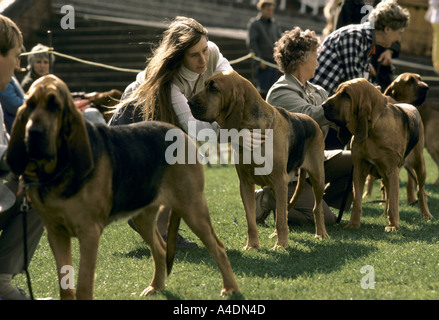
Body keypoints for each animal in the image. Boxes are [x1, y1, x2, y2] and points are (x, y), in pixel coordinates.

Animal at [5, 75, 239, 300]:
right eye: (30, 105)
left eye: (55, 106)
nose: (34, 133)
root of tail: (179, 132)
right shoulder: (56, 233)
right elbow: (66, 286)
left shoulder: (89, 233)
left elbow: (83, 286)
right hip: (143, 218)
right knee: (160, 249)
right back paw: (156, 287)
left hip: (192, 209)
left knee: (217, 247)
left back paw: (230, 288)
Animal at [187, 70, 328, 250]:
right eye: (205, 84)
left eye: (213, 88)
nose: (188, 102)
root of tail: (312, 120)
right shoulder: (245, 184)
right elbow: (251, 221)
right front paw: (252, 246)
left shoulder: (279, 181)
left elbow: (280, 220)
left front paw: (281, 245)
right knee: (282, 212)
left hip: (317, 178)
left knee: (316, 208)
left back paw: (320, 234)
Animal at [324, 78, 434, 231]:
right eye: (336, 91)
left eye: (346, 94)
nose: (323, 105)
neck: (372, 129)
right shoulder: (359, 171)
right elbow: (357, 201)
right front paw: (353, 223)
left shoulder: (392, 171)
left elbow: (394, 201)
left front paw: (393, 226)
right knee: (387, 193)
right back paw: (384, 214)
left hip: (420, 166)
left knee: (420, 191)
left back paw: (426, 214)